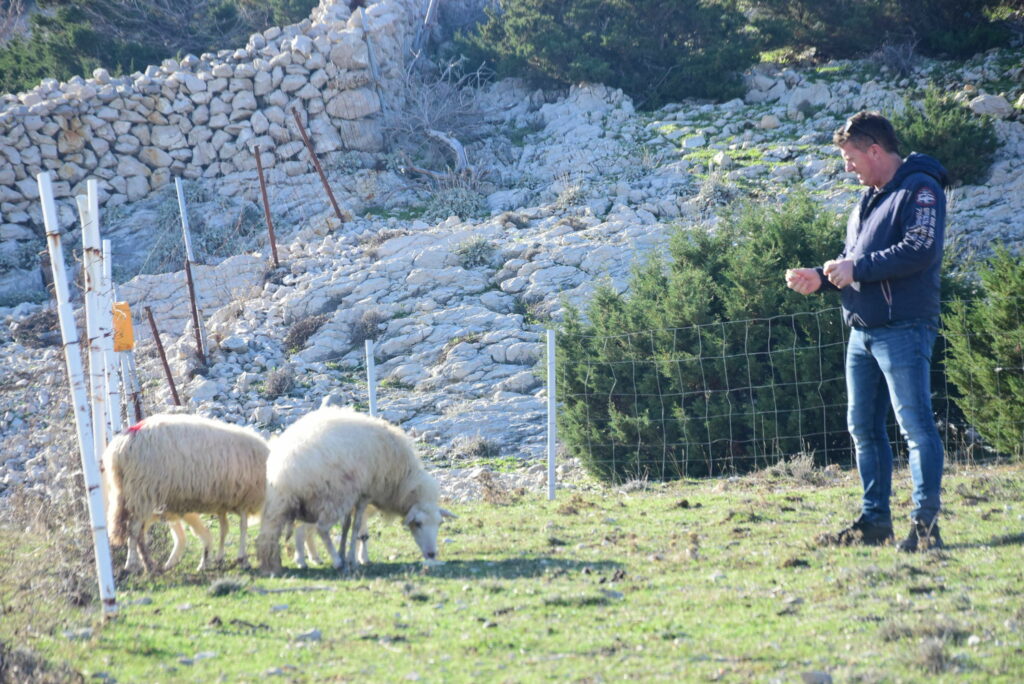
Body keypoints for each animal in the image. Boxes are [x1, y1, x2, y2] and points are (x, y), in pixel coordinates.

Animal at [102, 413, 270, 573]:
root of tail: (123, 441)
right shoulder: (245, 497)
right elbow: (242, 528)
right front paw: (242, 559)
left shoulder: (224, 502)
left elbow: (224, 529)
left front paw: (219, 558)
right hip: (143, 491)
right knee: (134, 530)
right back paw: (132, 564)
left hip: (131, 494)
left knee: (139, 532)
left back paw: (149, 564)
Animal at [256, 403, 452, 573]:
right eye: (417, 523)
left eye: (440, 523)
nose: (432, 554)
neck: (401, 479)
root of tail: (288, 469)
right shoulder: (364, 494)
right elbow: (356, 527)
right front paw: (349, 558)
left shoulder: (354, 498)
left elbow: (346, 526)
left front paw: (345, 553)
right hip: (333, 496)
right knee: (321, 529)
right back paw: (336, 562)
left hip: (282, 501)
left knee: (269, 533)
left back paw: (272, 565)